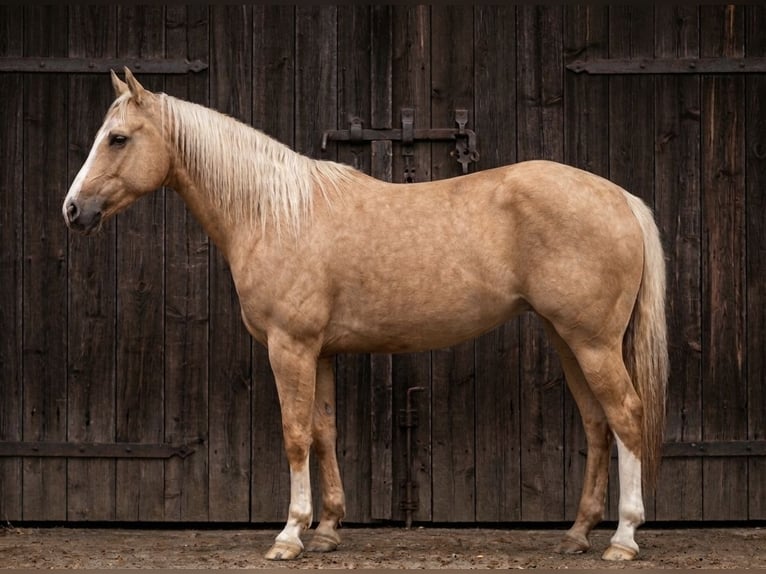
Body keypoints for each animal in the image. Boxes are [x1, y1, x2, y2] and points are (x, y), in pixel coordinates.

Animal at [63, 69, 668, 562]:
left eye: (118, 138)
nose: (73, 210)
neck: (276, 213)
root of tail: (621, 198)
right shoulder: (320, 352)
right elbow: (324, 430)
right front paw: (328, 529)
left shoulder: (290, 346)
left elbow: (294, 434)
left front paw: (290, 534)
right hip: (569, 340)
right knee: (597, 424)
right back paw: (578, 533)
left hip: (592, 343)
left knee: (626, 415)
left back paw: (623, 537)